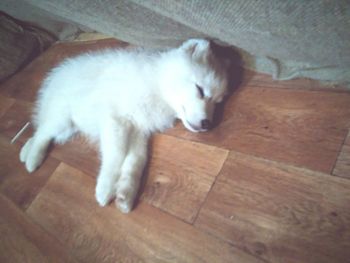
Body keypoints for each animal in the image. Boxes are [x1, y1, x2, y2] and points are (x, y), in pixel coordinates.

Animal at [19, 38, 228, 212]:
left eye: (217, 102)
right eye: (199, 90)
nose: (207, 123)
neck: (157, 86)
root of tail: (56, 76)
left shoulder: (138, 130)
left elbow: (137, 160)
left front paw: (125, 194)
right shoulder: (115, 120)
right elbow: (116, 155)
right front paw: (105, 187)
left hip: (68, 127)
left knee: (39, 131)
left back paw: (25, 151)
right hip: (63, 118)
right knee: (43, 133)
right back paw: (33, 159)